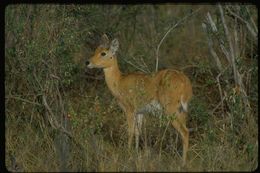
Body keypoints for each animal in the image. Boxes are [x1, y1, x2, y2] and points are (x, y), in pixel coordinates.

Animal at [87, 34, 193, 166]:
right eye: (96, 49)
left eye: (103, 53)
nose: (88, 62)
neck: (119, 81)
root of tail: (186, 82)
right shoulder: (140, 112)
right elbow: (138, 132)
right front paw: (136, 154)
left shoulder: (129, 109)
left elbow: (130, 131)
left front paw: (127, 153)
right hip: (182, 110)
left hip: (171, 110)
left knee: (185, 132)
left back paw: (182, 163)